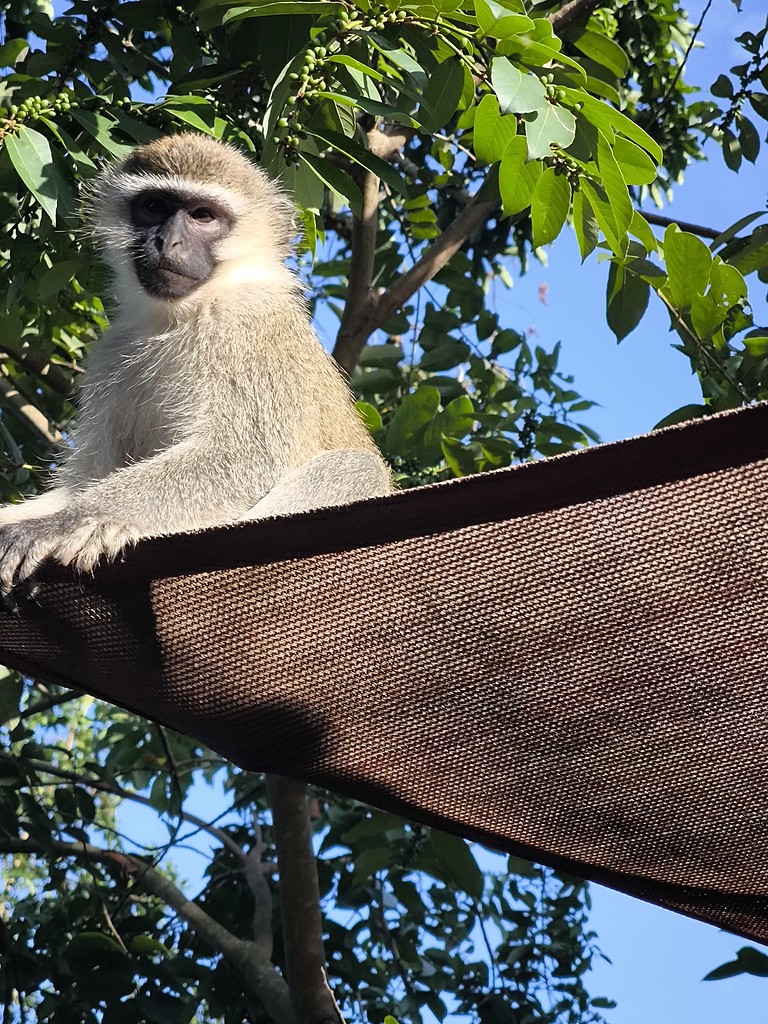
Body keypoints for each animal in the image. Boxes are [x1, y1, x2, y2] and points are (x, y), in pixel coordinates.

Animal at [0, 133, 393, 596]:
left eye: (204, 216)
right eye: (154, 207)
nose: (166, 243)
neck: (185, 313)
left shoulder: (246, 327)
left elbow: (247, 457)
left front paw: (67, 522)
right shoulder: (113, 352)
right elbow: (87, 477)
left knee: (356, 469)